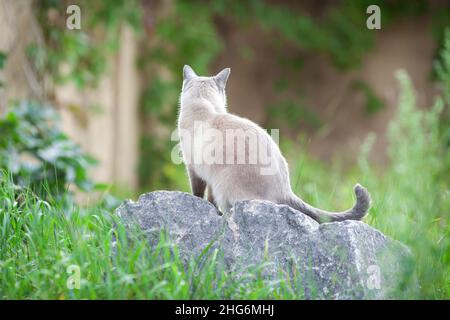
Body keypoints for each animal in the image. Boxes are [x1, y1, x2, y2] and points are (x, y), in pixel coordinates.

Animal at [178, 63, 370, 221]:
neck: (203, 108)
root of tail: (286, 190)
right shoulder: (205, 175)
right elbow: (209, 197)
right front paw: (210, 207)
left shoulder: (193, 168)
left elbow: (197, 192)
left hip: (224, 187)